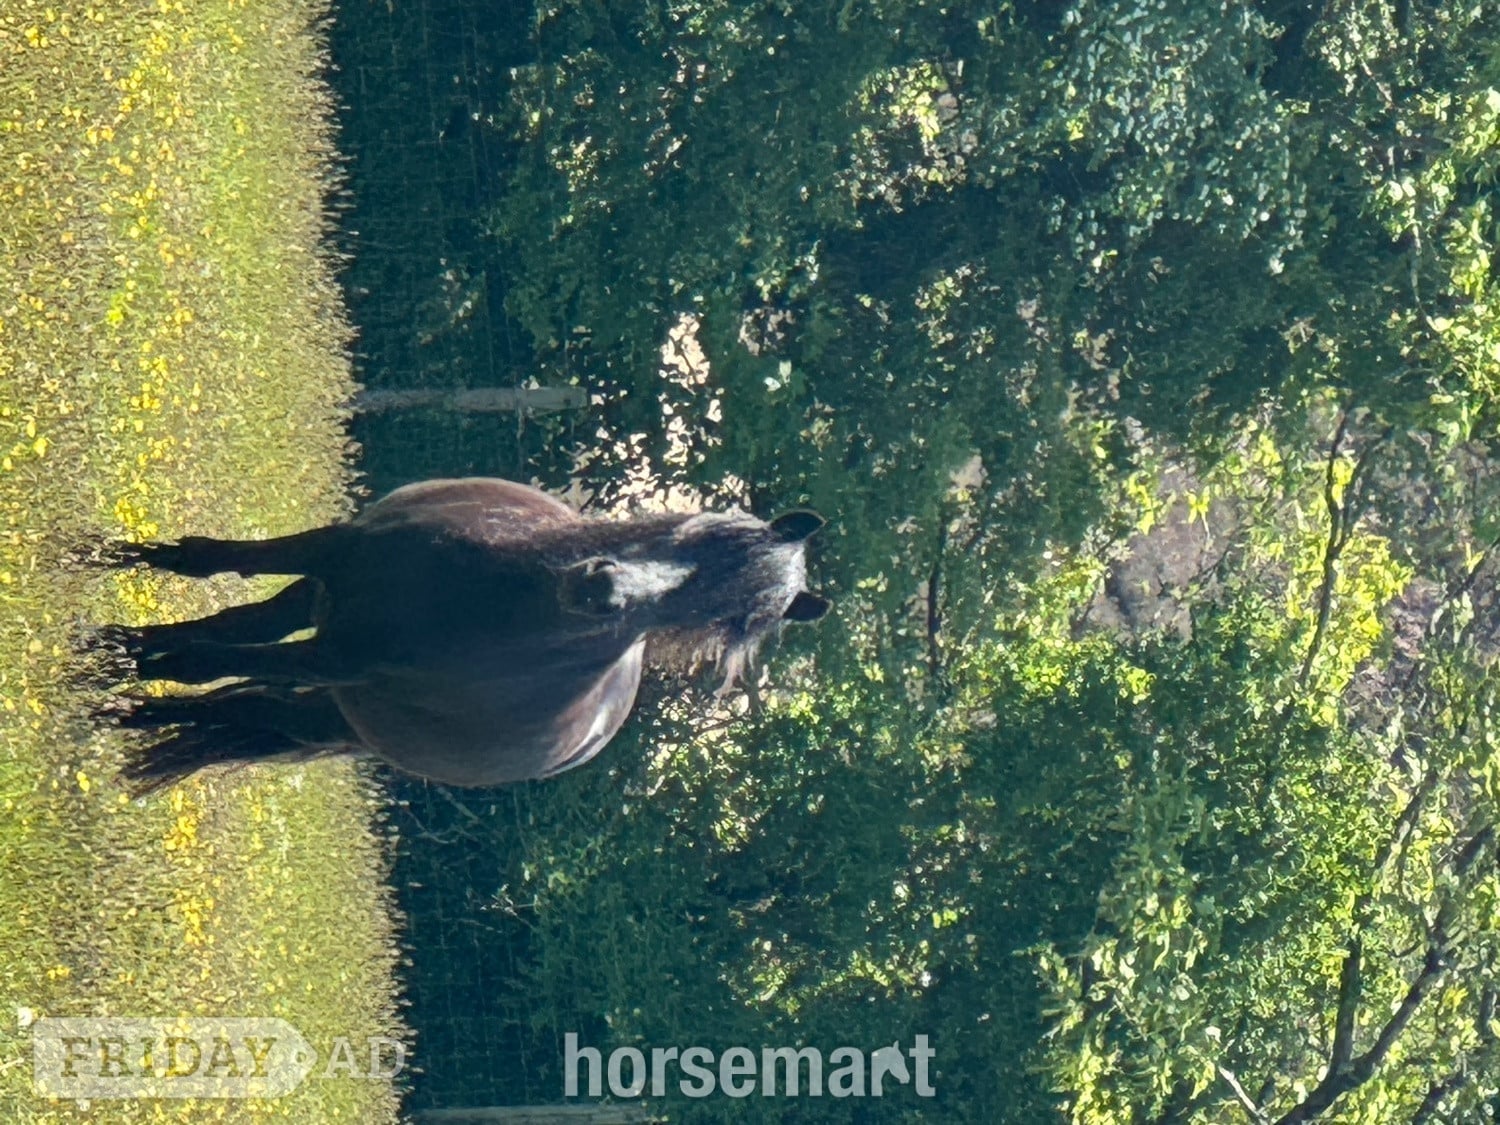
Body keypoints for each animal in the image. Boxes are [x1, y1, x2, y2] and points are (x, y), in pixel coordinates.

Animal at [96, 478, 829, 792]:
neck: (482, 600)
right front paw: (115, 572)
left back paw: (130, 706)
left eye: (709, 620)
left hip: (336, 706)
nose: (605, 592)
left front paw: (116, 667)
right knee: (244, 636)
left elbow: (199, 663)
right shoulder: (334, 554)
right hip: (324, 601)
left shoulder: (340, 661)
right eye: (705, 541)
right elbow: (208, 563)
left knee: (244, 699)